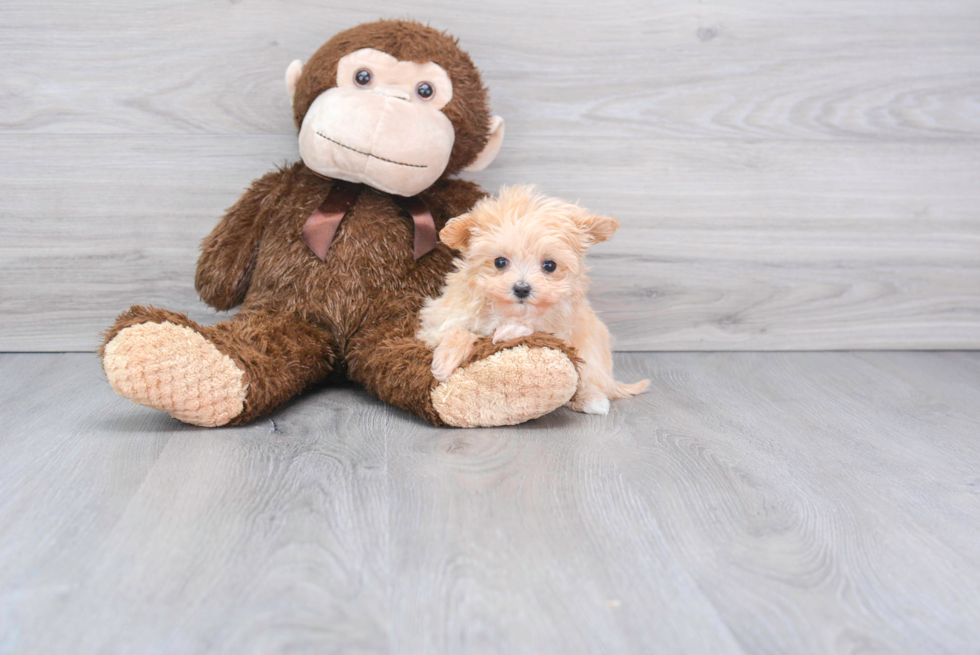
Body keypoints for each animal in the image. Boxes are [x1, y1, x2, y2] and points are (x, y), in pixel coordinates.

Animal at [416, 184, 652, 416]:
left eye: (550, 265)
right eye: (500, 262)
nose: (522, 288)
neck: (509, 311)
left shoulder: (561, 327)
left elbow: (535, 328)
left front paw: (509, 331)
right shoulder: (440, 318)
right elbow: (455, 329)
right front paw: (445, 359)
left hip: (592, 358)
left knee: (589, 381)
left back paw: (592, 400)